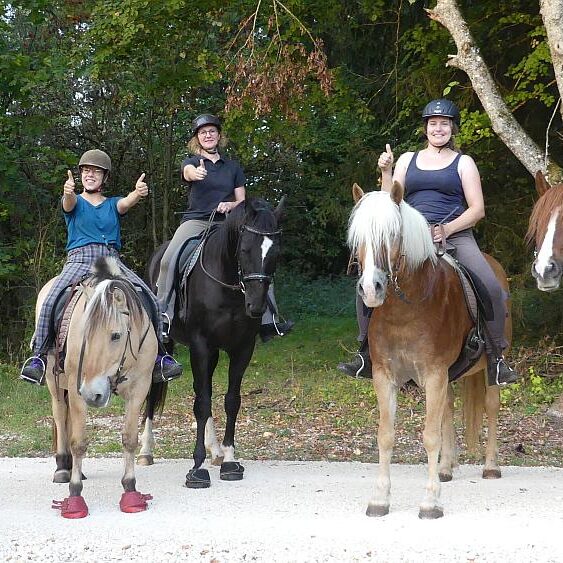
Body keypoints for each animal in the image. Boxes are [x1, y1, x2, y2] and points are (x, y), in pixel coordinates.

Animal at [41, 256, 157, 518]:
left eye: (116, 335)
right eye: (84, 333)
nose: (92, 394)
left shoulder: (139, 389)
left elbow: (129, 439)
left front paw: (130, 491)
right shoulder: (76, 391)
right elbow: (79, 442)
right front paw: (74, 496)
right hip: (56, 384)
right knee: (60, 416)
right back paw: (63, 468)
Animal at [143, 197, 285, 488]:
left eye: (275, 253)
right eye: (244, 249)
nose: (256, 306)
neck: (227, 286)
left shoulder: (242, 348)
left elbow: (230, 400)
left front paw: (229, 460)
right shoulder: (200, 345)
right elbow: (202, 403)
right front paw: (197, 469)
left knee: (203, 388)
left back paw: (216, 451)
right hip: (164, 344)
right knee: (155, 388)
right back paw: (145, 451)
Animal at [348, 182, 510, 519]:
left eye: (392, 234)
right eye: (358, 239)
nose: (370, 289)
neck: (406, 309)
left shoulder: (435, 373)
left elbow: (430, 436)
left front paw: (430, 502)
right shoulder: (386, 376)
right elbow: (386, 435)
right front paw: (380, 498)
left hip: (491, 365)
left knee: (491, 406)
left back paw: (490, 466)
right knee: (447, 409)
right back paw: (446, 468)